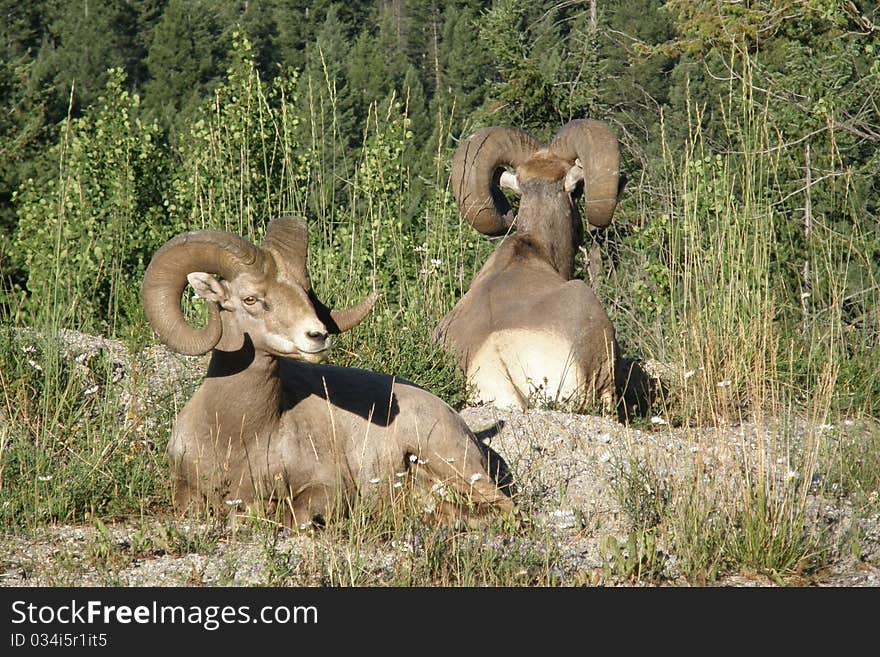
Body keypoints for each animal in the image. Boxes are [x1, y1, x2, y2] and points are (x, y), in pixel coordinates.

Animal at [144, 215, 512, 528]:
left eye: (304, 293)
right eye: (250, 299)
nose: (317, 335)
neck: (238, 435)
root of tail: (455, 419)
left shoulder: (328, 489)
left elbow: (291, 516)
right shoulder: (185, 489)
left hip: (450, 460)